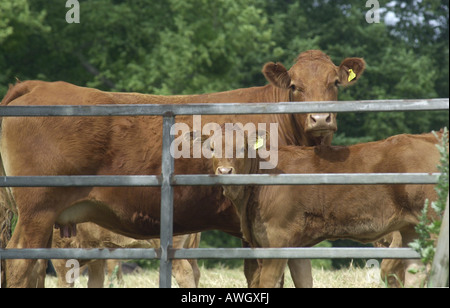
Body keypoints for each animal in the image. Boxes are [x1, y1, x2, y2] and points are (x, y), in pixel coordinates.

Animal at [0, 49, 366, 288]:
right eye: (294, 86)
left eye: (335, 82)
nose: (320, 118)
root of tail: (39, 85)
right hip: (37, 209)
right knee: (19, 264)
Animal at [209, 126, 442, 288]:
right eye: (211, 148)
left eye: (242, 148)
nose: (225, 171)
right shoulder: (293, 245)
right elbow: (303, 281)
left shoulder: (278, 239)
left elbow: (268, 282)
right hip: (412, 230)